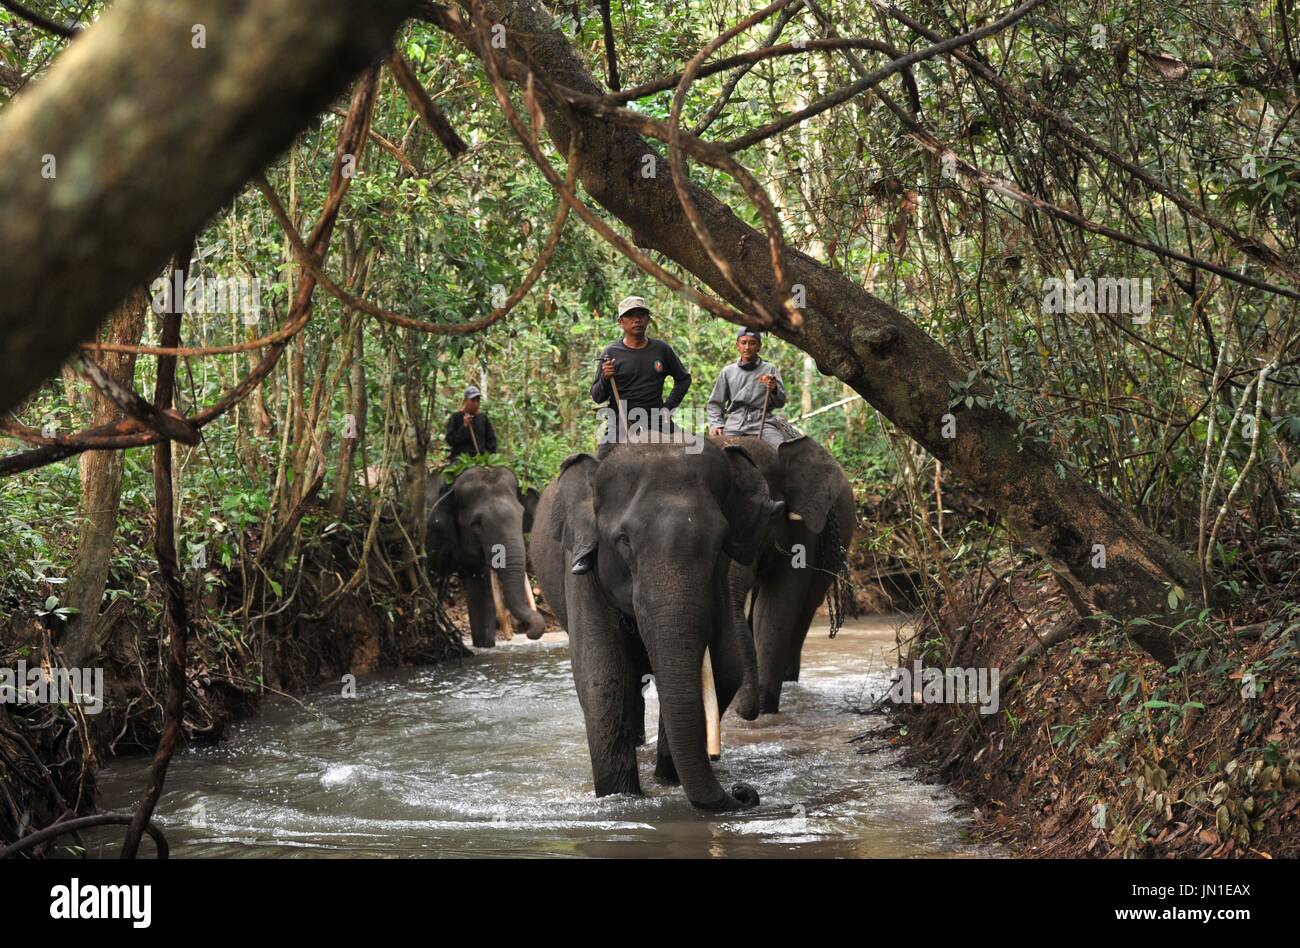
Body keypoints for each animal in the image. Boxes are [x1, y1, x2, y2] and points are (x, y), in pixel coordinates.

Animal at [527, 439, 780, 811]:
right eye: (624, 540)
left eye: (720, 542)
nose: (743, 792)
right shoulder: (582, 571)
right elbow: (601, 676)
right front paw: (620, 796)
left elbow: (726, 665)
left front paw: (668, 780)